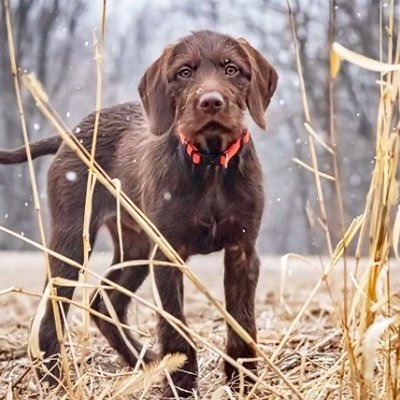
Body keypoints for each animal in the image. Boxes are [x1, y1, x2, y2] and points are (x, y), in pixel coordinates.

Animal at [0, 30, 276, 396]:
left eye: (232, 69)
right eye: (184, 73)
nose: (211, 102)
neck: (211, 163)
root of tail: (70, 134)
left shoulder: (242, 250)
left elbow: (242, 324)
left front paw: (242, 383)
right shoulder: (168, 255)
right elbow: (176, 329)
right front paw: (181, 385)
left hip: (135, 245)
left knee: (103, 302)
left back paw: (145, 363)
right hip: (73, 238)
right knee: (52, 315)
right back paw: (56, 380)